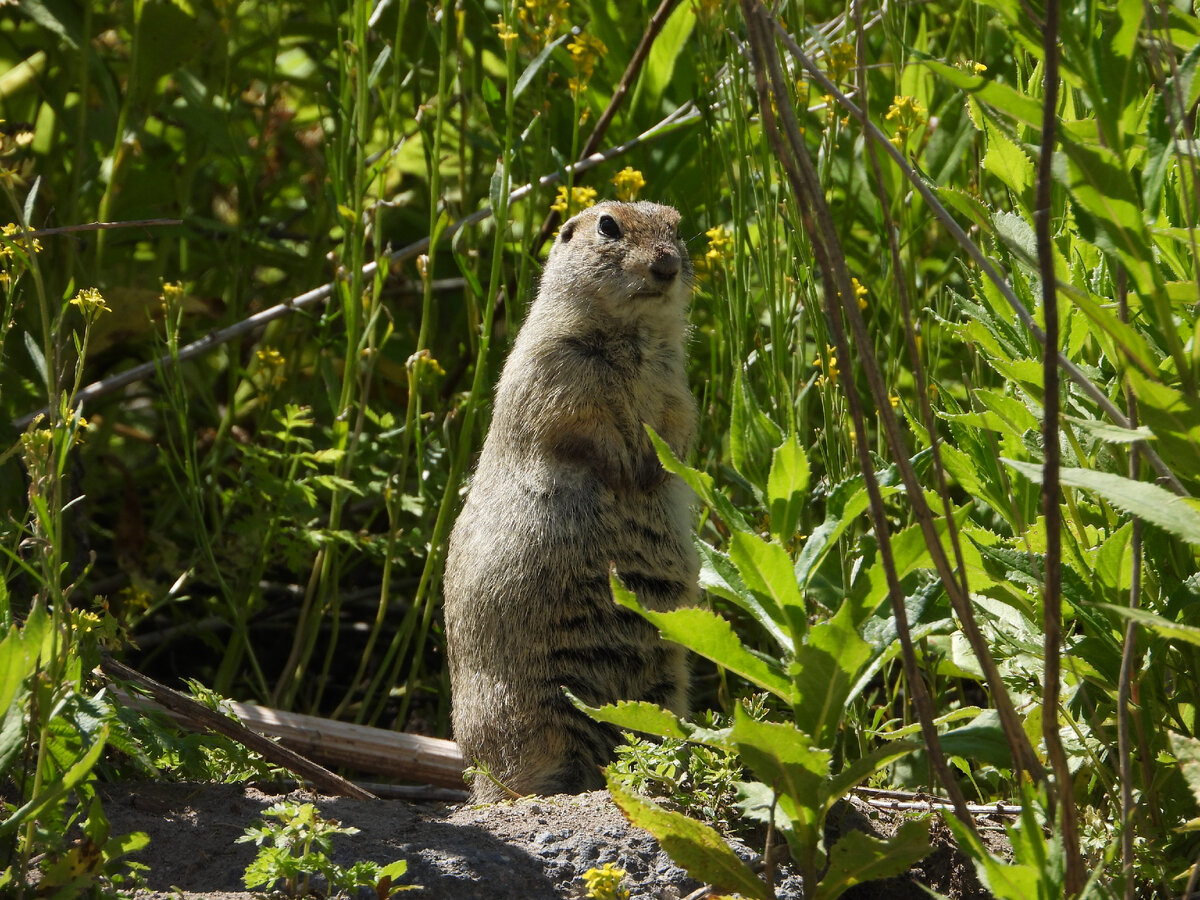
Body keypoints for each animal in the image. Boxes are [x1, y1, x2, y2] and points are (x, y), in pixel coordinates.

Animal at [446, 199, 700, 801]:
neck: (631, 334)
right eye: (608, 226)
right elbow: (579, 428)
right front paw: (626, 471)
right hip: (524, 713)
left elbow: (678, 426)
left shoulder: (674, 383)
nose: (666, 264)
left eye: (677, 226)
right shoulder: (558, 370)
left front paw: (653, 470)